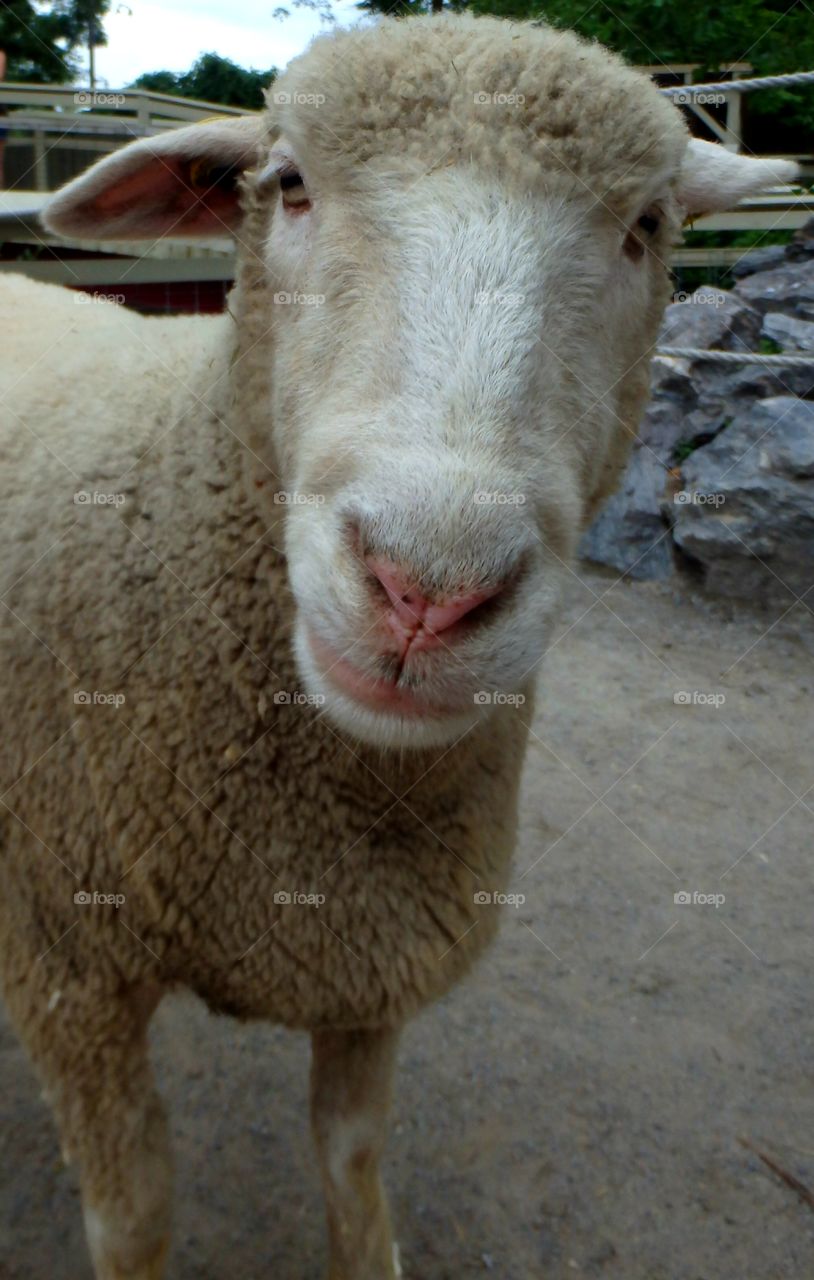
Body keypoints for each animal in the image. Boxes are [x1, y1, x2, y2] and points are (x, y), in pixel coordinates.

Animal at [0, 13, 797, 1279]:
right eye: (288, 186)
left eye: (645, 226)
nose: (427, 588)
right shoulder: (66, 967)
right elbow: (133, 1215)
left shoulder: (371, 964)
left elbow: (353, 1159)